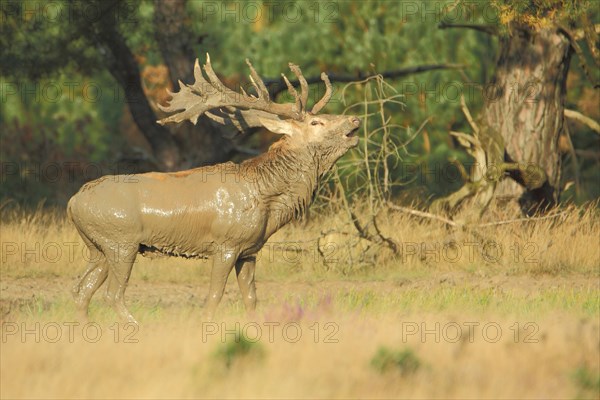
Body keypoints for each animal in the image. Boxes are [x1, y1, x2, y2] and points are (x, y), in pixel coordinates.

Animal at [70, 54, 360, 322]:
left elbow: (251, 297)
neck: (267, 200)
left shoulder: (249, 251)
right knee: (112, 293)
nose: (354, 120)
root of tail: (73, 202)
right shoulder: (226, 244)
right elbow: (214, 296)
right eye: (316, 123)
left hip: (98, 247)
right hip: (121, 240)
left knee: (82, 290)